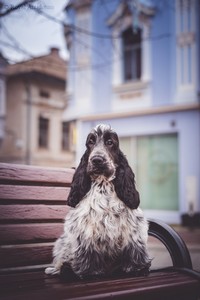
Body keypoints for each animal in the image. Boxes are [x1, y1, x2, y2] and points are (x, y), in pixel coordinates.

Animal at [45, 123, 151, 278]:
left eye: (110, 142)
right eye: (90, 142)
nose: (97, 160)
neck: (103, 185)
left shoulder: (132, 228)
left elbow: (134, 249)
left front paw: (136, 269)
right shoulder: (85, 229)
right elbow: (86, 252)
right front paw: (89, 272)